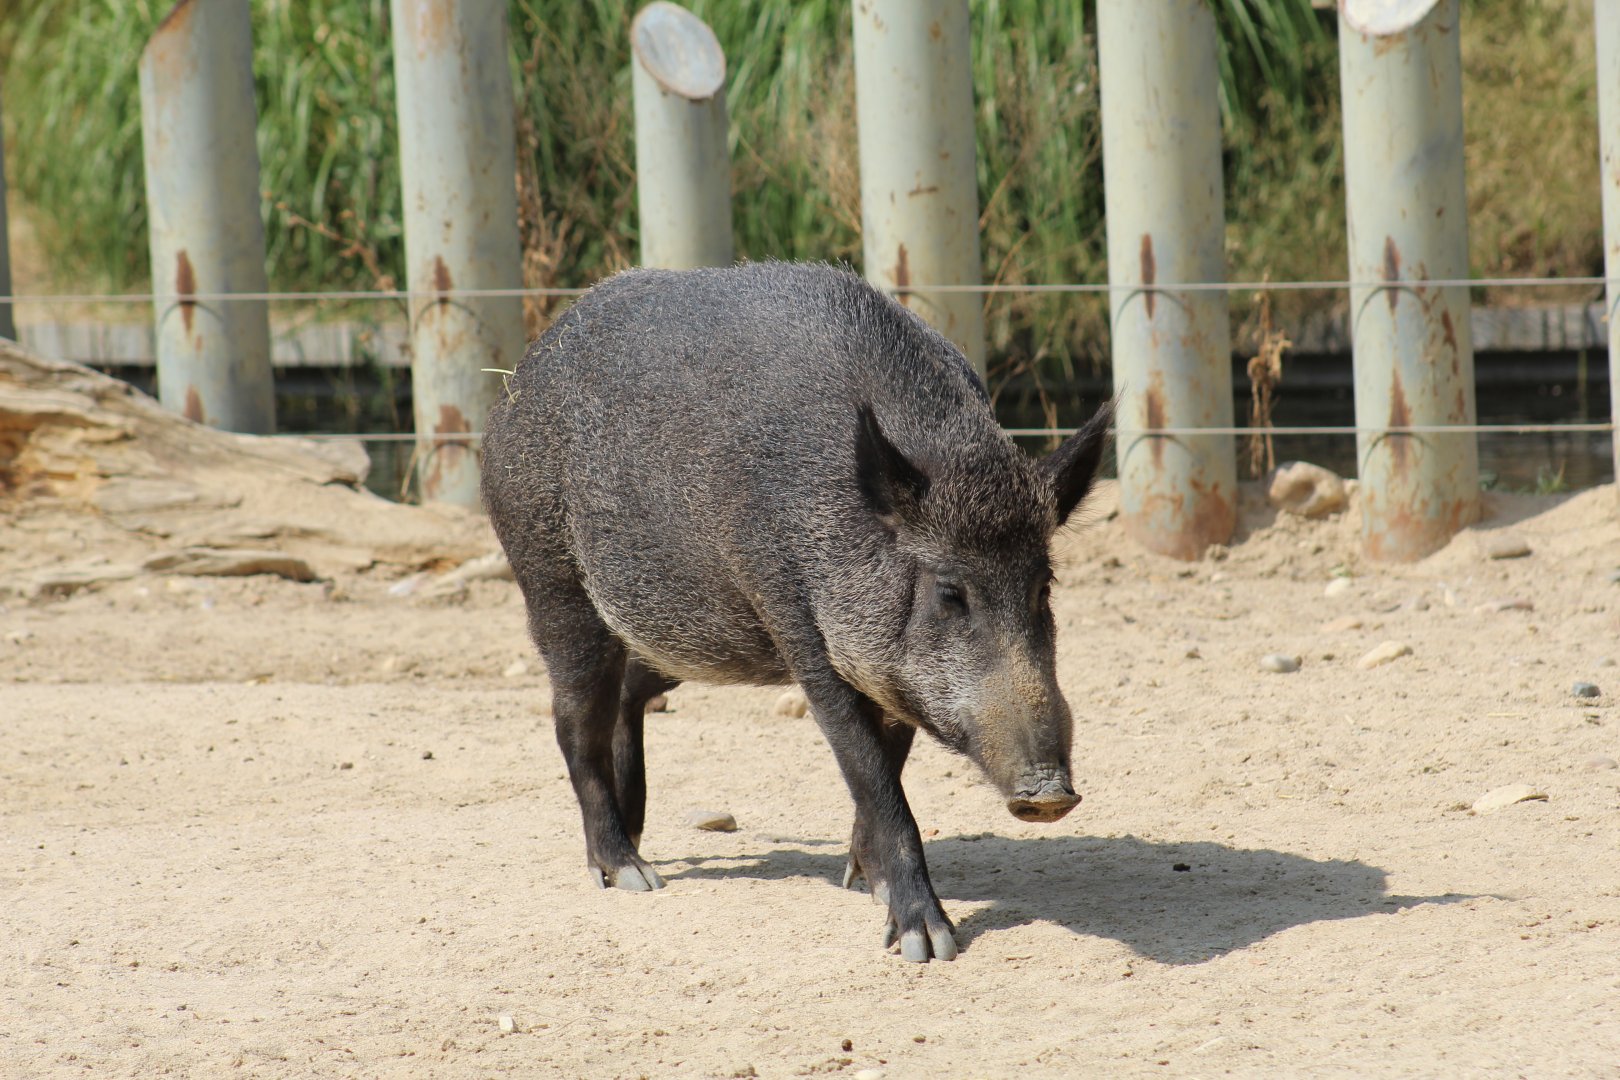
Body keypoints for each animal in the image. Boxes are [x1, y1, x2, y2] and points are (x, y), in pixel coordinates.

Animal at [481, 261, 1111, 962]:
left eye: (1043, 587)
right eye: (950, 591)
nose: (1050, 794)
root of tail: (518, 378)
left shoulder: (893, 677)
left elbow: (889, 765)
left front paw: (861, 882)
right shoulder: (796, 622)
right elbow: (874, 777)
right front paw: (927, 946)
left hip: (678, 634)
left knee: (626, 701)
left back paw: (645, 847)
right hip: (551, 580)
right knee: (573, 722)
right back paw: (631, 875)